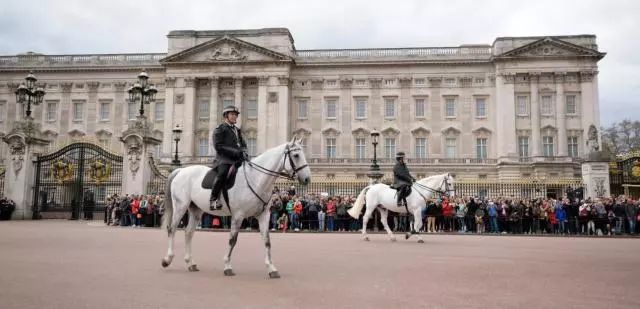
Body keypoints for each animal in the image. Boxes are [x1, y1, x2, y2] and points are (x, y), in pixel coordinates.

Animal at [160, 137, 310, 276]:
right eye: (296, 155)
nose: (307, 179)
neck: (256, 178)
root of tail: (180, 170)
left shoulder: (264, 215)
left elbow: (267, 241)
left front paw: (271, 268)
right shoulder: (238, 215)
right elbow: (232, 240)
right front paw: (227, 266)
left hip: (195, 210)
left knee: (188, 233)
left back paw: (190, 262)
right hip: (180, 206)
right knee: (172, 229)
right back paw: (167, 259)